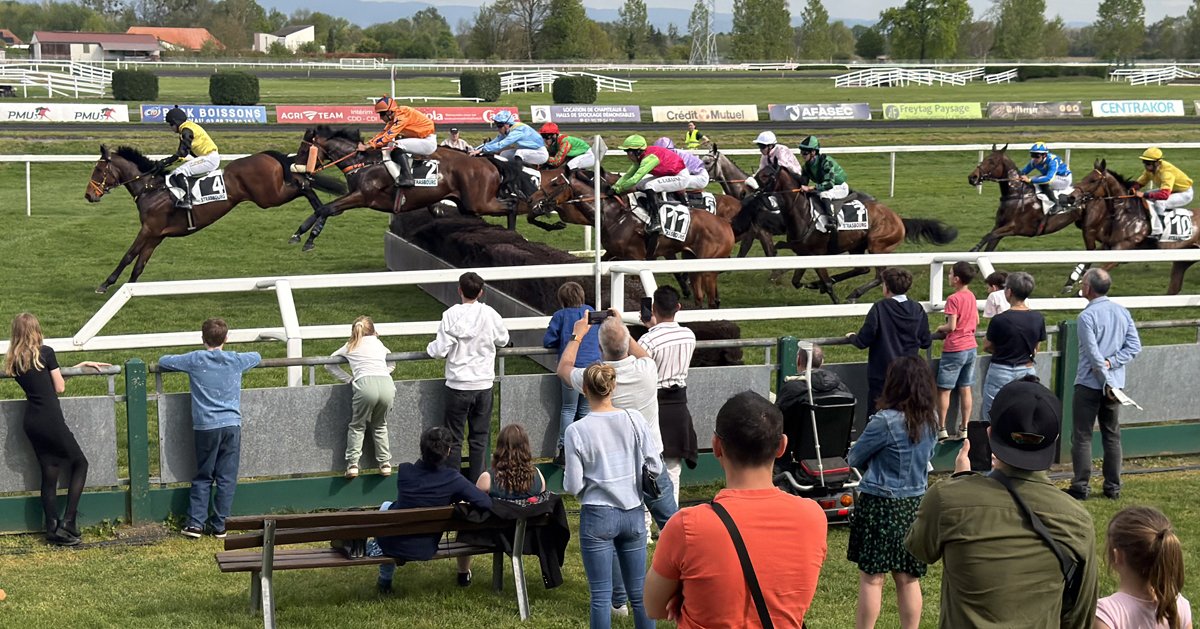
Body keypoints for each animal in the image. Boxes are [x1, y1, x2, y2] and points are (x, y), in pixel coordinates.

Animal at [84, 145, 347, 294]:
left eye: (98, 170)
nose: (89, 195)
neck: (151, 189)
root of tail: (265, 155)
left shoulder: (148, 230)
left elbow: (128, 256)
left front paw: (105, 284)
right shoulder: (156, 235)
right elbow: (139, 264)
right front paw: (131, 290)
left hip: (269, 196)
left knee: (304, 184)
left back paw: (310, 226)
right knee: (305, 182)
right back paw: (312, 226)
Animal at [289, 126, 556, 251]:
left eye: (305, 149)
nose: (297, 172)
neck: (363, 162)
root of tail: (486, 160)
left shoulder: (363, 196)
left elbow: (326, 209)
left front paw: (308, 238)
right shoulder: (351, 196)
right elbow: (325, 209)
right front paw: (299, 233)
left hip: (479, 201)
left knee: (511, 204)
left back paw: (515, 235)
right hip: (468, 204)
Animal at [531, 171, 735, 308]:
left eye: (555, 184)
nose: (532, 199)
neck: (614, 215)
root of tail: (726, 225)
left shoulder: (636, 257)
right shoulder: (612, 253)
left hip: (708, 266)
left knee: (711, 298)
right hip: (692, 261)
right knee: (699, 295)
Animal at [755, 164, 959, 303]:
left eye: (766, 175)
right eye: (758, 173)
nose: (754, 192)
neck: (804, 213)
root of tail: (899, 219)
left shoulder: (817, 253)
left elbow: (826, 283)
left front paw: (832, 296)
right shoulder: (804, 254)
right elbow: (796, 282)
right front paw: (815, 284)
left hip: (877, 246)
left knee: (878, 276)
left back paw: (854, 293)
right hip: (857, 246)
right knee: (862, 269)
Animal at [1061, 159, 1200, 295]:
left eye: (1093, 180)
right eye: (1086, 177)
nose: (1071, 197)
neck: (1126, 214)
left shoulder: (1122, 250)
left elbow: (1101, 269)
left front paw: (1081, 291)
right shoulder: (1107, 246)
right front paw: (1071, 281)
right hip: (1185, 258)